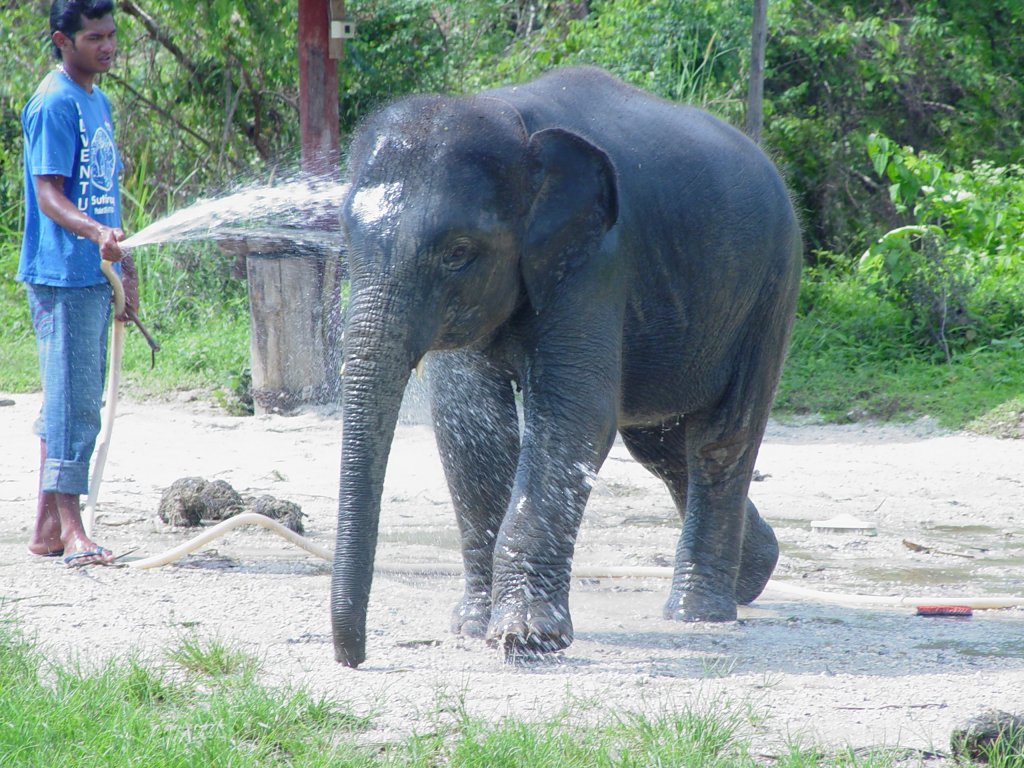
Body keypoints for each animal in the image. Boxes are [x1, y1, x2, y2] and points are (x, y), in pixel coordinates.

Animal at [331, 66, 802, 667]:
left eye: (459, 252)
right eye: (348, 238)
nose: (354, 658)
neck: (514, 127)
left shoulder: (598, 258)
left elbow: (572, 416)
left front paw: (526, 640)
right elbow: (469, 424)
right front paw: (474, 626)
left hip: (772, 287)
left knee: (719, 440)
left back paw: (699, 613)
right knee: (661, 448)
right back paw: (756, 571)